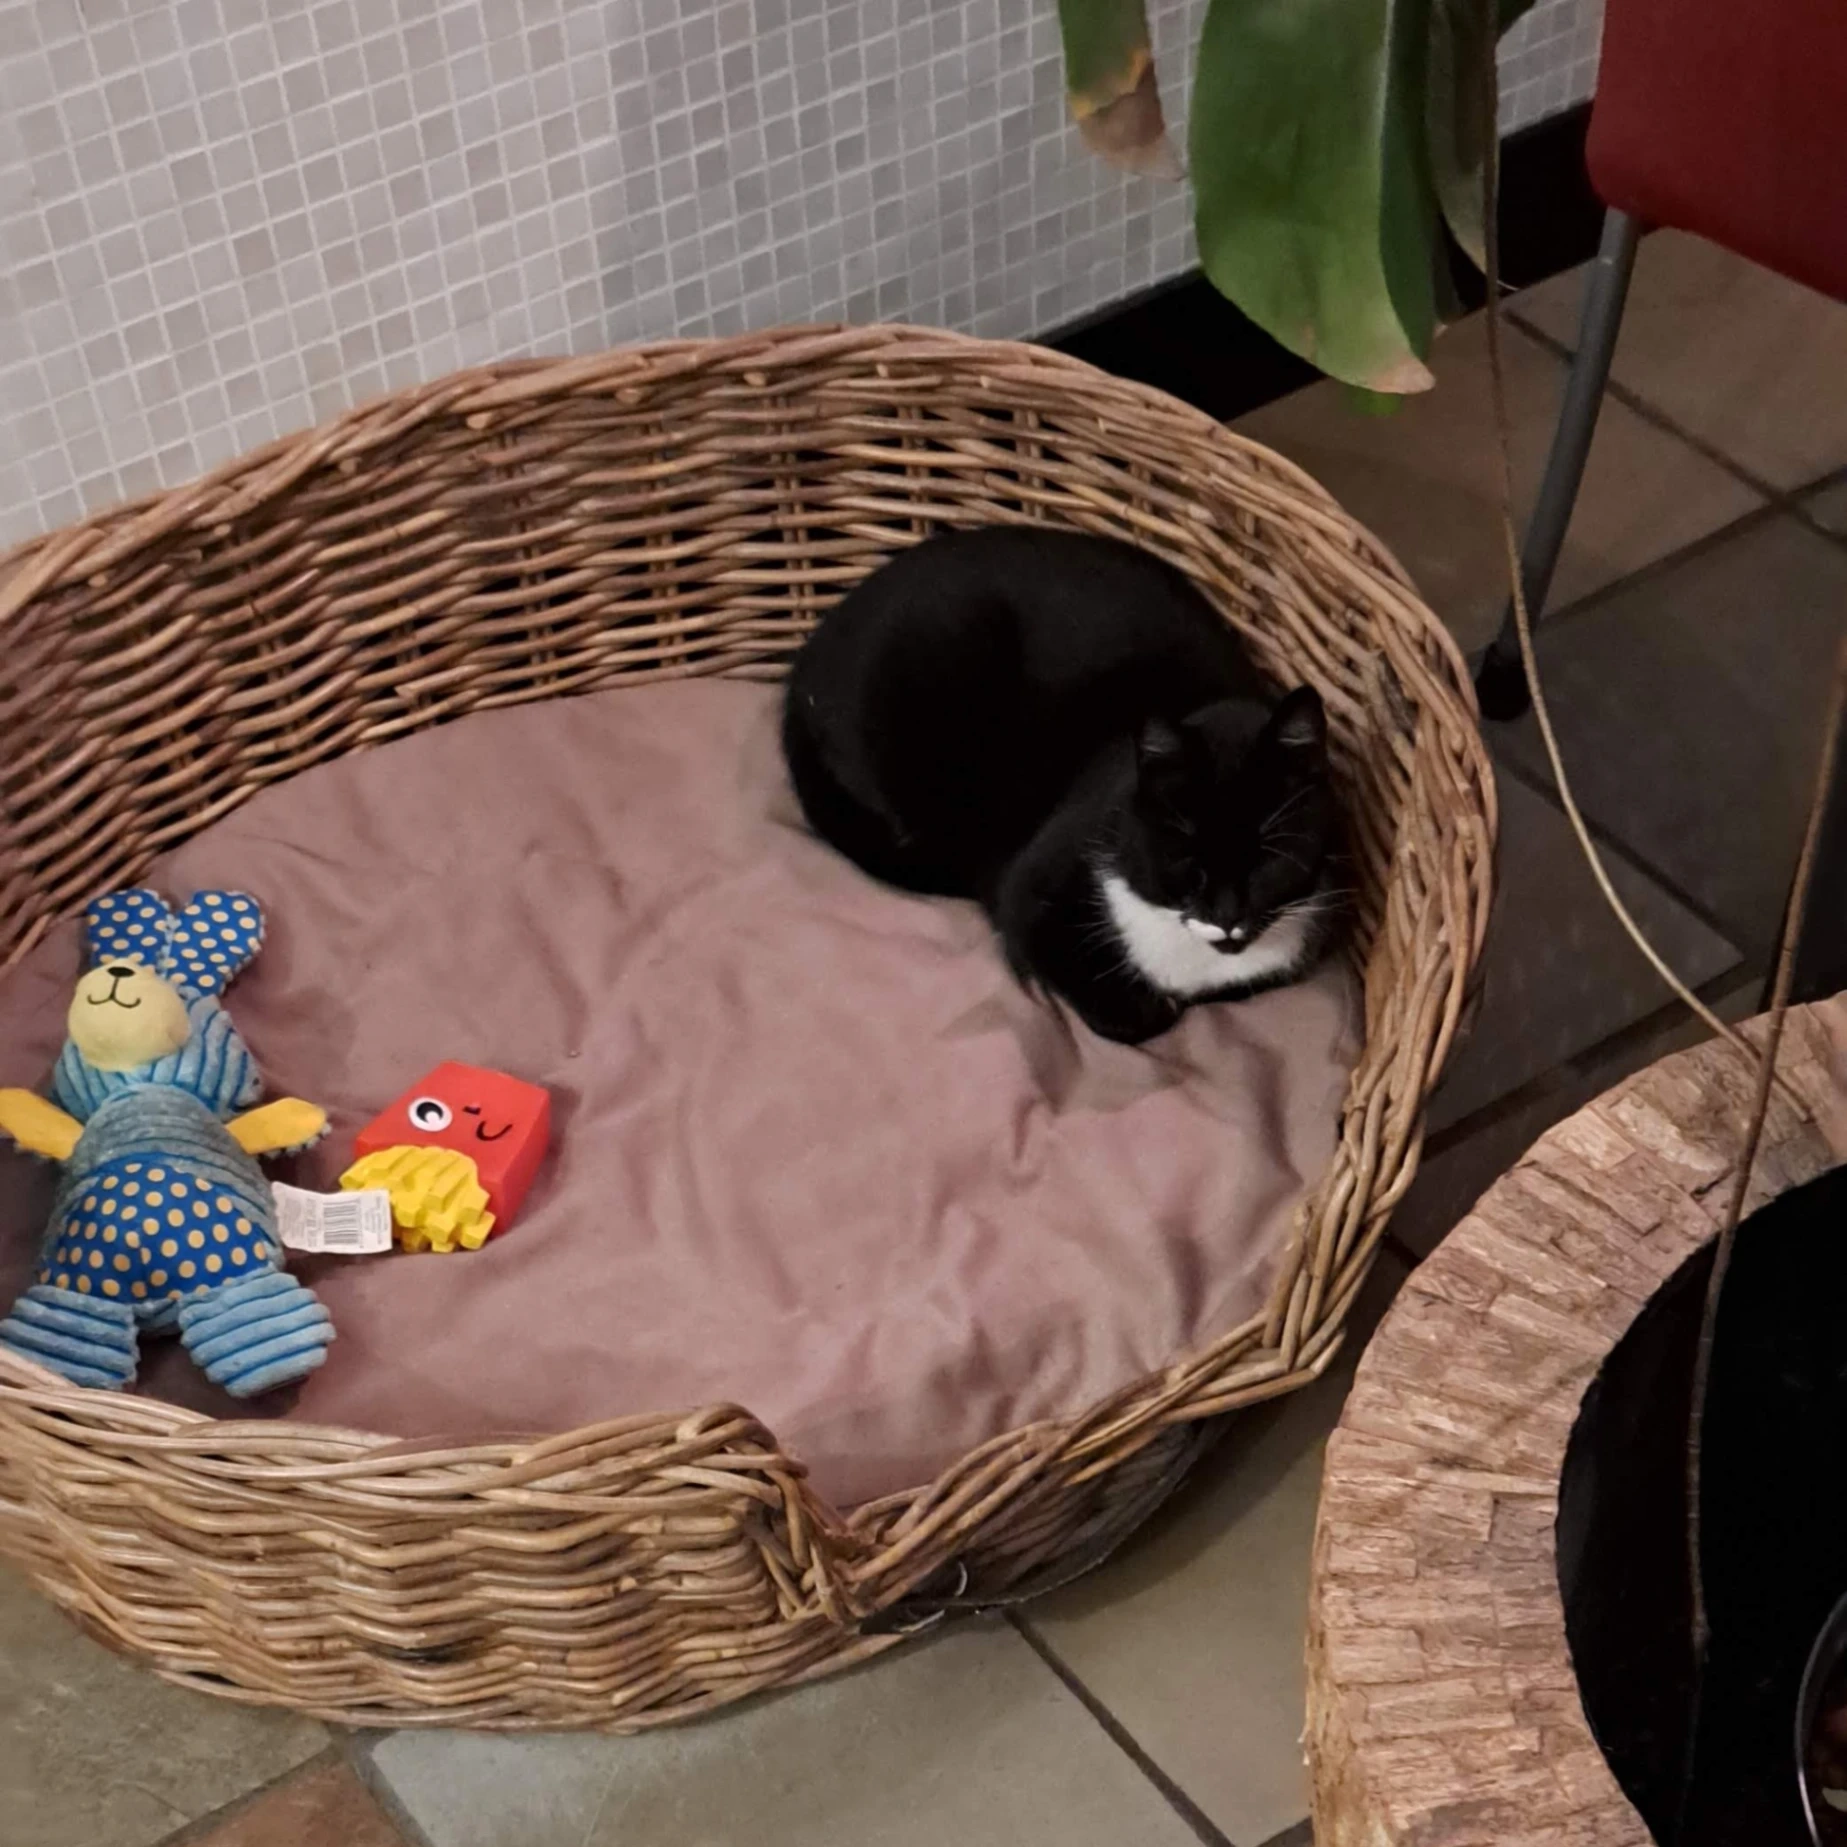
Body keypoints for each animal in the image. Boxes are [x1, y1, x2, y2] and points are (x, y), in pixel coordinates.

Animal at [781, 526, 1347, 1046]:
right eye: (1186, 856)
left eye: (1270, 860)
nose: (1228, 918)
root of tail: (800, 672)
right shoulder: (1032, 886)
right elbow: (1098, 988)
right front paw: (1144, 1006)